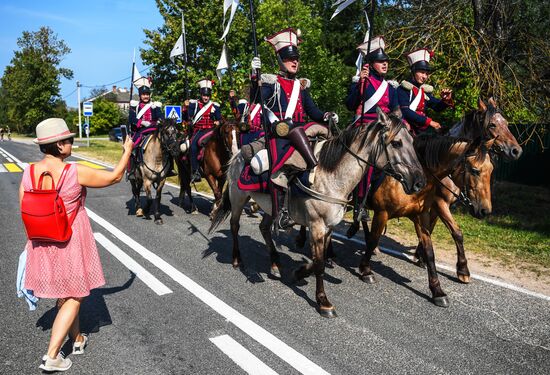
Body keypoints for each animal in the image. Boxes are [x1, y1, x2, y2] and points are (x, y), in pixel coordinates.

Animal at [211, 108, 426, 318]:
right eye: (396, 143)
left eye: (412, 141)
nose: (419, 182)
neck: (331, 177)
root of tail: (238, 154)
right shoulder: (316, 226)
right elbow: (319, 263)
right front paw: (323, 302)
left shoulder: (328, 228)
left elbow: (317, 260)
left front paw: (299, 273)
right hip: (238, 198)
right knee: (235, 225)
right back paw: (237, 260)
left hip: (270, 207)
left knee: (264, 228)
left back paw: (275, 264)